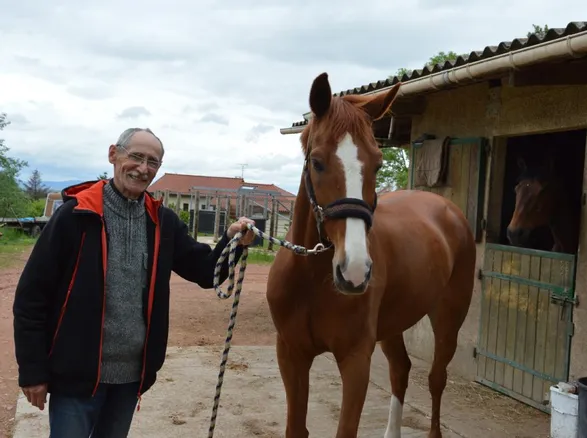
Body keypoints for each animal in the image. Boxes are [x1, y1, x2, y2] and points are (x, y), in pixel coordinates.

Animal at [266, 72, 478, 438]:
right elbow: (296, 427)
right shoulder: (291, 354)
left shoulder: (355, 359)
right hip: (393, 324)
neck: (311, 281)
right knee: (401, 370)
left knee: (436, 378)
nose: (354, 272)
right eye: (317, 162)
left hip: (448, 317)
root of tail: (449, 210)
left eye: (378, 164)